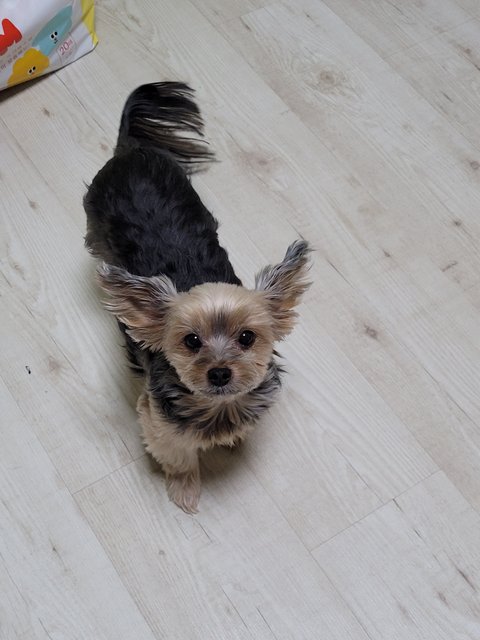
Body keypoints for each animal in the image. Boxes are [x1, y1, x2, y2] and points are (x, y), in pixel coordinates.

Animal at [84, 82, 311, 513]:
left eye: (247, 338)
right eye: (190, 341)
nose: (219, 373)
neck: (217, 405)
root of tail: (129, 150)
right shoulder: (158, 422)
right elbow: (178, 456)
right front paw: (185, 490)